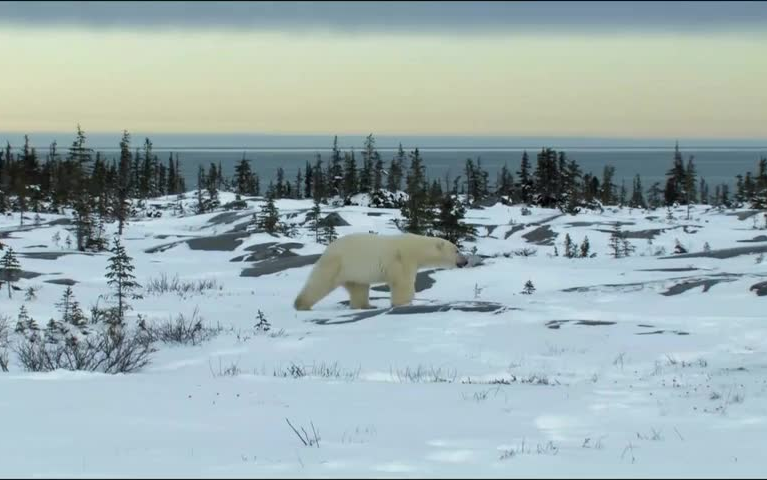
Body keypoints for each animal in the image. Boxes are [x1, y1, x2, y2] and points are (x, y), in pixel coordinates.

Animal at [296, 232, 468, 312]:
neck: (416, 248)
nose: (466, 261)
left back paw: (367, 306)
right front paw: (404, 303)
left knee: (359, 288)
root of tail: (327, 250)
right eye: (457, 250)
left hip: (355, 273)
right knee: (320, 283)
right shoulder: (402, 260)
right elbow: (403, 283)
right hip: (338, 264)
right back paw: (301, 304)